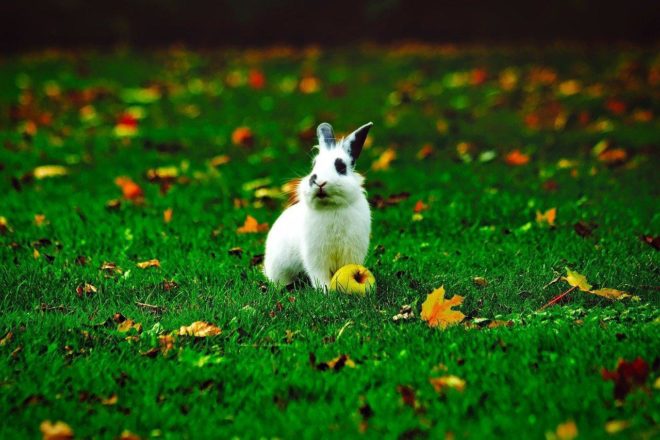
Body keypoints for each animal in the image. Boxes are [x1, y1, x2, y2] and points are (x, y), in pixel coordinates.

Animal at [264, 122, 373, 289]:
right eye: (314, 165)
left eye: (341, 167)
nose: (319, 182)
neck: (331, 207)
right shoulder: (315, 256)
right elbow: (318, 274)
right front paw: (325, 290)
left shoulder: (351, 252)